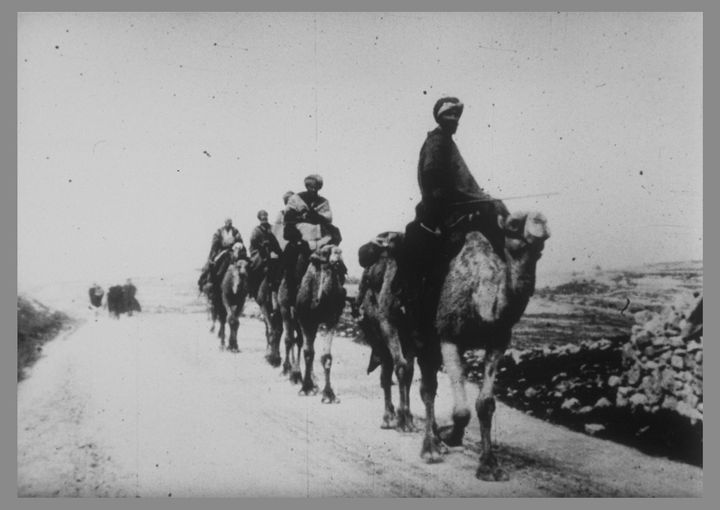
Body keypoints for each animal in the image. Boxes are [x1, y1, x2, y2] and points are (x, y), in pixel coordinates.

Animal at [294, 243, 348, 402]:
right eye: (325, 253)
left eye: (339, 251)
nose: (337, 253)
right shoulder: (305, 320)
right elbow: (308, 352)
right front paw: (306, 388)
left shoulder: (331, 320)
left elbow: (326, 356)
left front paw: (329, 395)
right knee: (298, 342)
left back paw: (314, 382)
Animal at [356, 233, 416, 432]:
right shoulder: (388, 325)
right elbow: (400, 367)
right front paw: (401, 417)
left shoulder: (411, 333)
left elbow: (406, 369)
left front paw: (406, 417)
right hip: (381, 336)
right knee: (388, 371)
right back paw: (391, 417)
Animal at [416, 209, 552, 480]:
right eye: (513, 223)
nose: (540, 222)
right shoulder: (448, 336)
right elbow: (461, 410)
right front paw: (451, 436)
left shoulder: (498, 342)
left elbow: (485, 404)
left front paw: (490, 465)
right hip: (420, 335)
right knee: (426, 386)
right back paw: (431, 447)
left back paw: (436, 438)